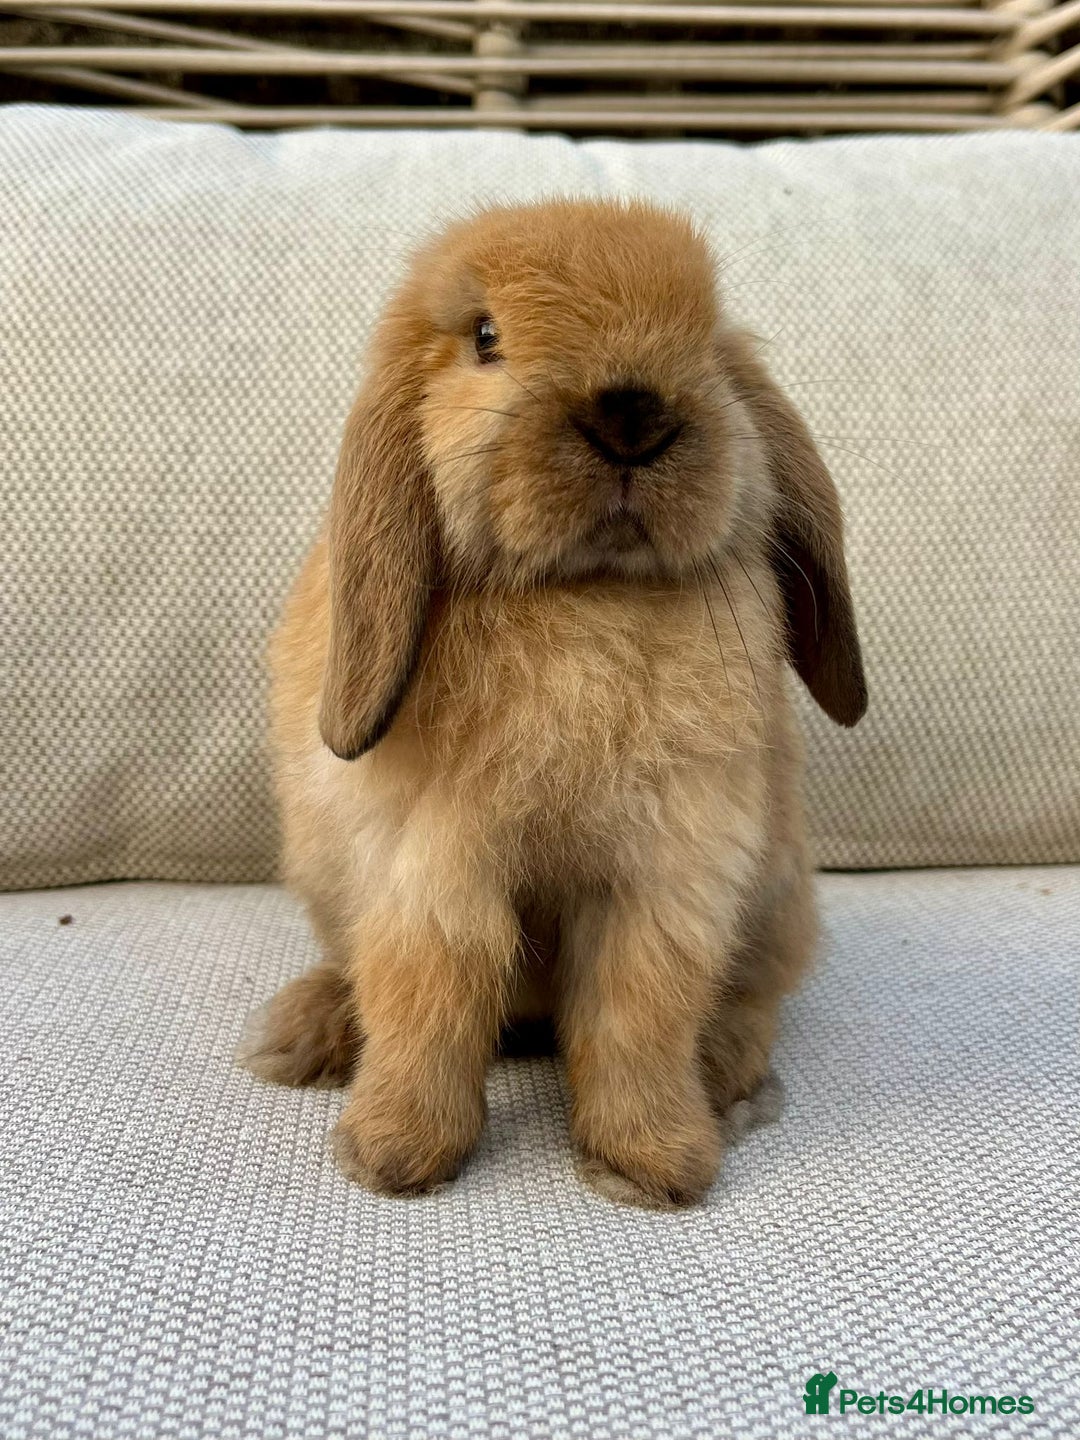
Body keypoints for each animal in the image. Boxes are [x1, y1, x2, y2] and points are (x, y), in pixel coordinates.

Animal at [237, 198, 866, 1209]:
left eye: (706, 337)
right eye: (486, 337)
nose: (633, 414)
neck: (585, 591)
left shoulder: (669, 872)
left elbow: (640, 1010)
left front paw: (650, 1168)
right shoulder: (433, 866)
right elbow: (429, 995)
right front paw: (393, 1156)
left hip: (777, 897)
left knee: (751, 1000)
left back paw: (727, 1082)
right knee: (360, 974)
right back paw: (301, 1036)